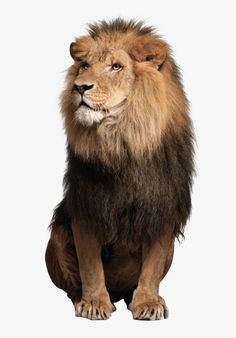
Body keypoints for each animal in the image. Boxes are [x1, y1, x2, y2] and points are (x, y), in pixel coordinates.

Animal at [45, 17, 195, 320]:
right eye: (84, 66)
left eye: (115, 67)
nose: (79, 87)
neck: (123, 142)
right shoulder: (87, 206)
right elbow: (90, 265)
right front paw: (94, 303)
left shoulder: (162, 209)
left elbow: (152, 265)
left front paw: (148, 302)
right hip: (56, 236)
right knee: (72, 284)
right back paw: (82, 299)